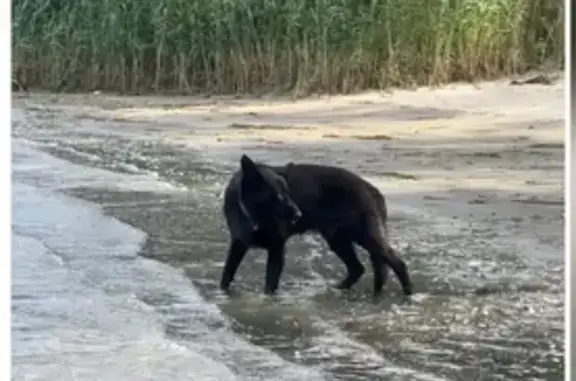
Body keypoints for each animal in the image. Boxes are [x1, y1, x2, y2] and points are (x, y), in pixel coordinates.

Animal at [218, 154, 412, 296]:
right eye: (278, 196)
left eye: (288, 193)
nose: (298, 214)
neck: (254, 218)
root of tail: (371, 188)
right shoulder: (238, 244)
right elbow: (226, 275)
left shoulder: (277, 249)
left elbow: (270, 285)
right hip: (338, 239)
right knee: (358, 268)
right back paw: (340, 289)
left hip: (365, 236)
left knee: (397, 264)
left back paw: (408, 294)